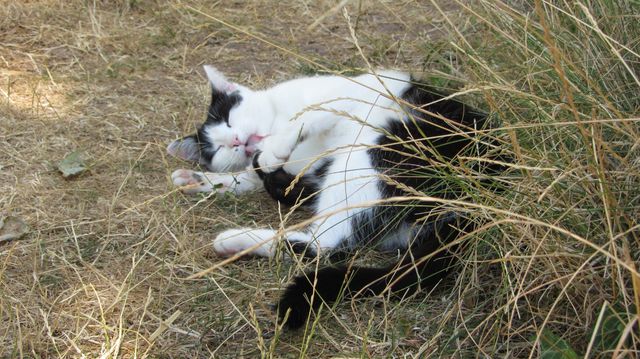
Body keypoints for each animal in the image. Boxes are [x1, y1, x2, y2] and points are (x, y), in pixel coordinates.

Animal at [166, 66, 504, 330]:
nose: (237, 141)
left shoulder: (344, 93)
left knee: (324, 246)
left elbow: (308, 117)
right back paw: (234, 242)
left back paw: (234, 237)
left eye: (228, 119)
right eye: (216, 149)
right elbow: (244, 178)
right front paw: (195, 179)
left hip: (373, 152)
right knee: (317, 246)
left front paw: (275, 149)